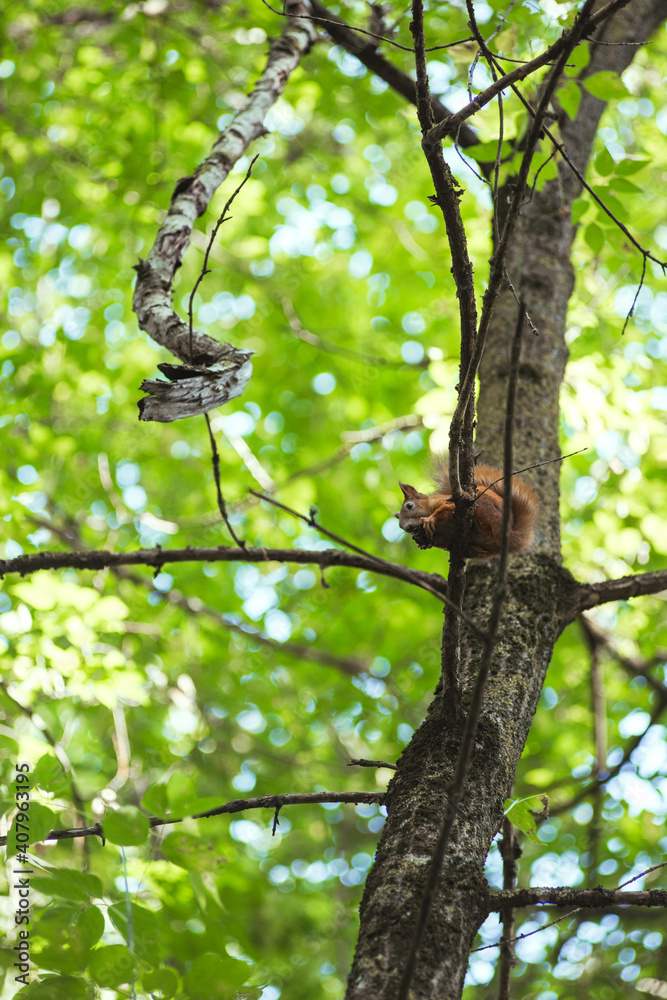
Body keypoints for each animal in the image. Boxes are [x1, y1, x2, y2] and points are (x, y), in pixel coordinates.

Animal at [395, 461, 539, 558]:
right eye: (400, 527)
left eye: (409, 506)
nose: (408, 528)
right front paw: (425, 542)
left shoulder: (448, 503)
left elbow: (446, 510)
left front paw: (429, 519)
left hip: (485, 507)